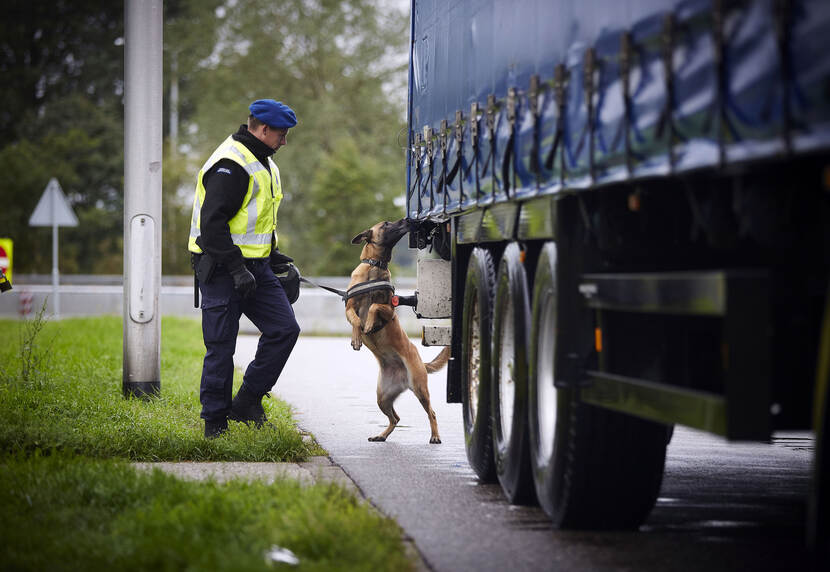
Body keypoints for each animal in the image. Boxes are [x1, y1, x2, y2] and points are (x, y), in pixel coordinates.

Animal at [344, 217, 448, 444]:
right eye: (385, 224)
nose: (407, 219)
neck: (374, 268)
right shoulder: (348, 308)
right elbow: (356, 318)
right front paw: (357, 337)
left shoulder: (390, 310)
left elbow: (374, 306)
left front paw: (369, 325)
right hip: (382, 397)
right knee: (395, 418)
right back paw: (381, 435)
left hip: (419, 388)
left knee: (432, 412)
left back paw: (435, 436)